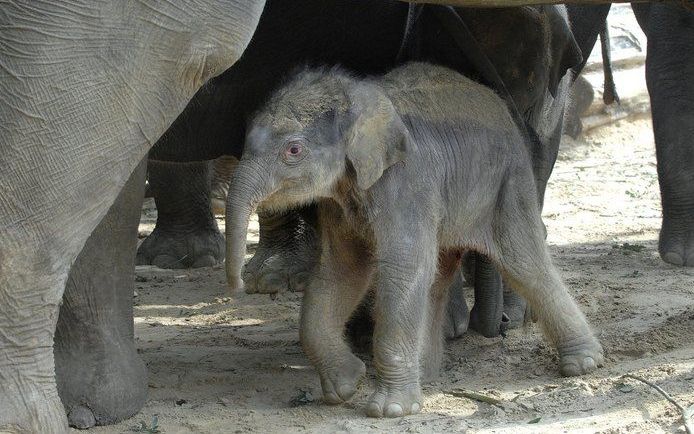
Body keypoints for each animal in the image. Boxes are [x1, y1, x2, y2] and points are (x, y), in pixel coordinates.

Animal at [227, 62, 604, 418]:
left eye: (293, 150)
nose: (239, 285)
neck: (365, 104)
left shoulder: (407, 184)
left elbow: (401, 269)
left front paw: (389, 410)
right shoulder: (339, 203)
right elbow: (342, 272)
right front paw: (347, 385)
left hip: (509, 183)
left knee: (524, 262)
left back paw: (584, 364)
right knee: (440, 275)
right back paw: (427, 374)